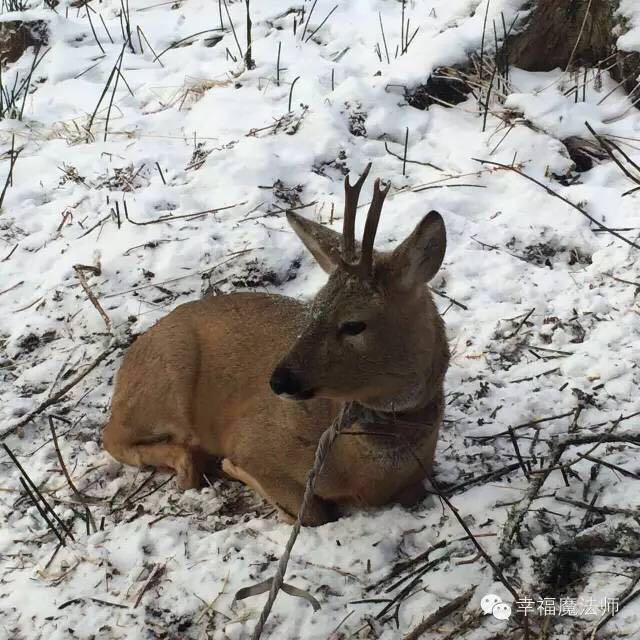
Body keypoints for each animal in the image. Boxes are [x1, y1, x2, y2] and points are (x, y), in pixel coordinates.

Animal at [102, 164, 448, 524]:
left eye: (354, 324)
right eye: (313, 307)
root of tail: (130, 358)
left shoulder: (415, 483)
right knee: (111, 434)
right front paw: (231, 466)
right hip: (168, 380)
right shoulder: (254, 441)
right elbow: (313, 512)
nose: (279, 379)